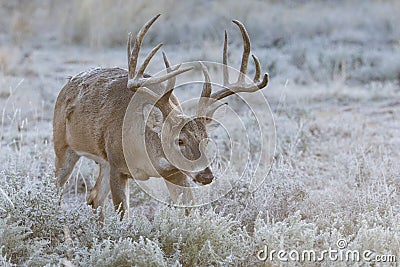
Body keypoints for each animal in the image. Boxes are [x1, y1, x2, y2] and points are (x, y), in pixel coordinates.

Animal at [51, 13, 268, 221]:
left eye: (207, 140)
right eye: (179, 140)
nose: (206, 176)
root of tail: (67, 84)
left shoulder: (175, 172)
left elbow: (190, 211)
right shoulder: (117, 166)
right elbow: (122, 218)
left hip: (102, 162)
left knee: (94, 198)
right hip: (63, 147)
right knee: (57, 191)